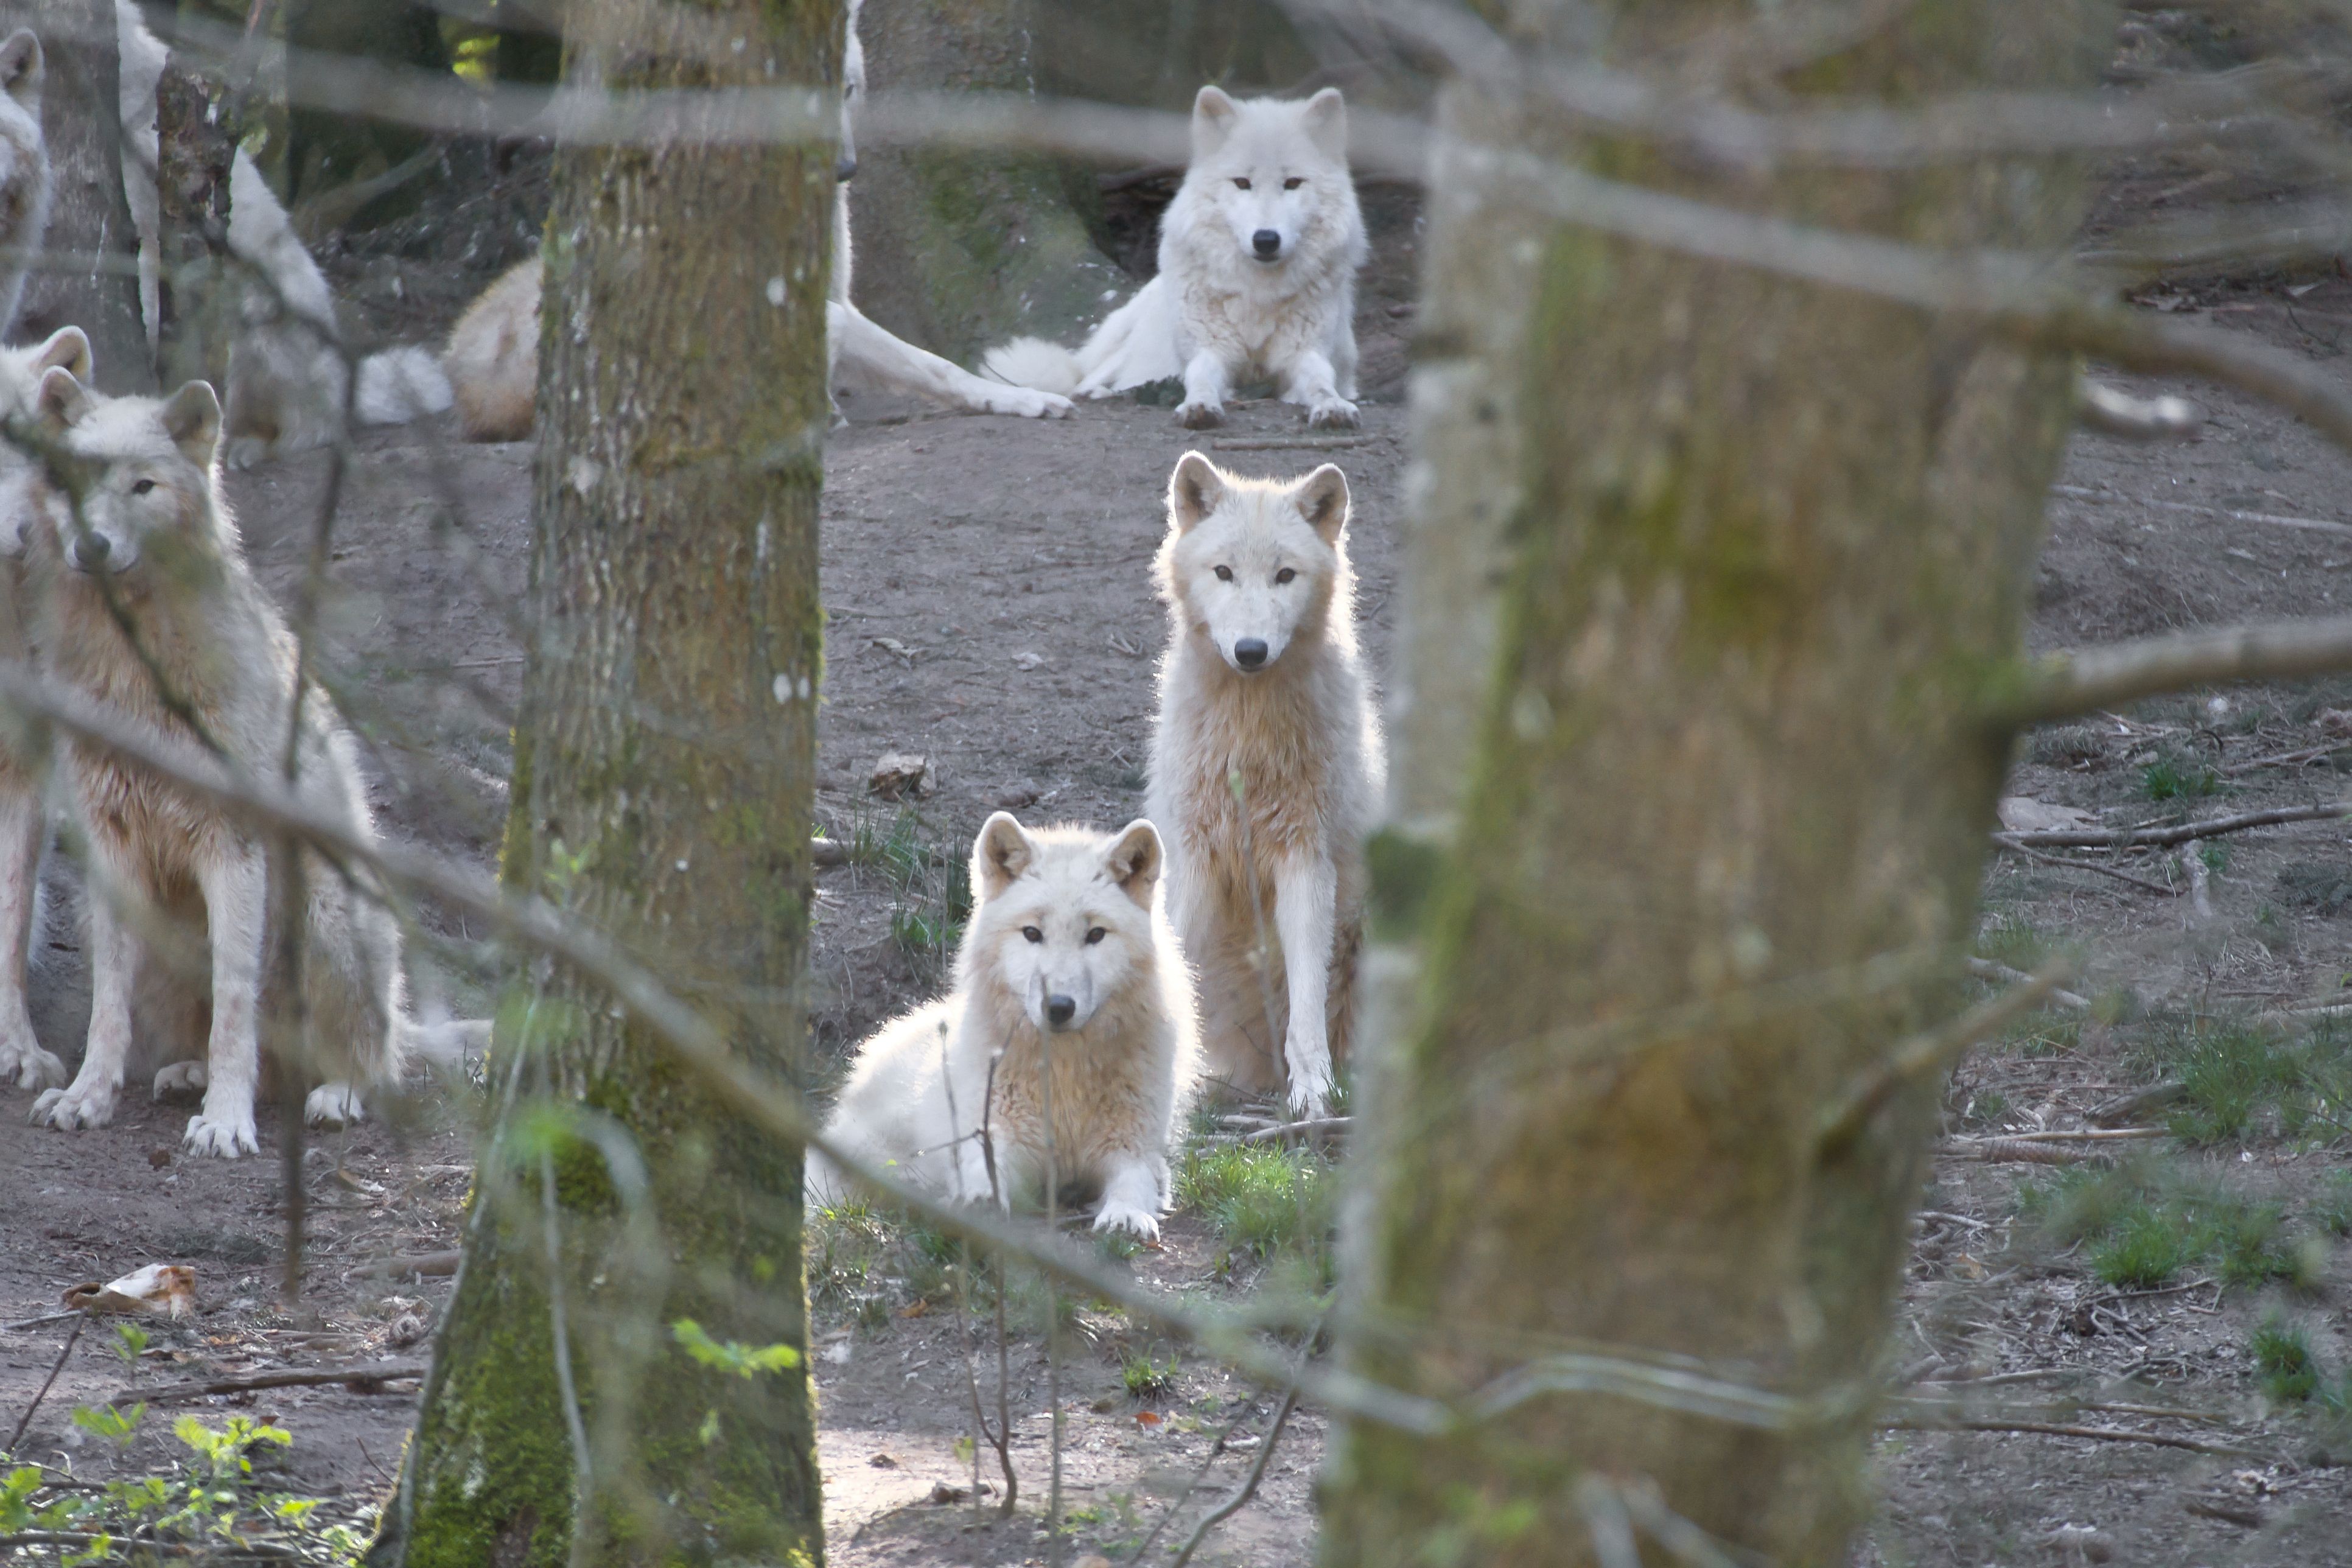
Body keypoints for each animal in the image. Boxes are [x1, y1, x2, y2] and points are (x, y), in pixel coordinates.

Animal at [22, 368, 450, 1155]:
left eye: (143, 486)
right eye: (75, 479)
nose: (93, 544)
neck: (136, 670)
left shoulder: (233, 848)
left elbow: (233, 1002)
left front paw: (225, 1119)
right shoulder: (111, 846)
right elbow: (107, 1008)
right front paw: (88, 1096)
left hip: (325, 910)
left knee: (372, 1060)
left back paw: (335, 1093)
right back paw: (188, 1072)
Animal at [442, 0, 1071, 441]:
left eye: (846, 88)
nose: (845, 169)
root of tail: (460, 380)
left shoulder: (838, 296)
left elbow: (936, 366)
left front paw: (1020, 397)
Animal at [806, 814, 1198, 1240]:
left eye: (1095, 935)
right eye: (1032, 934)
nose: (1058, 1007)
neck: (1065, 1077)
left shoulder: (1137, 1148)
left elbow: (1135, 1181)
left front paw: (1126, 1214)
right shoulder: (995, 1133)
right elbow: (985, 1171)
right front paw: (979, 1203)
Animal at [983, 86, 1367, 431]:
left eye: (1293, 183)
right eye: (1242, 182)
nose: (1266, 240)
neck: (1258, 294)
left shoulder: (1306, 352)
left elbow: (1321, 382)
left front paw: (1333, 406)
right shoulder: (1208, 350)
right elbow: (1200, 379)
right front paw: (1200, 405)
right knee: (1085, 379)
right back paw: (1099, 392)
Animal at [1145, 452, 1382, 1118]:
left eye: (1284, 576)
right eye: (1223, 572)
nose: (1250, 651)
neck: (1247, 740)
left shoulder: (1305, 858)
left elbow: (1305, 1002)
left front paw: (1315, 1094)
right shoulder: (1192, 859)